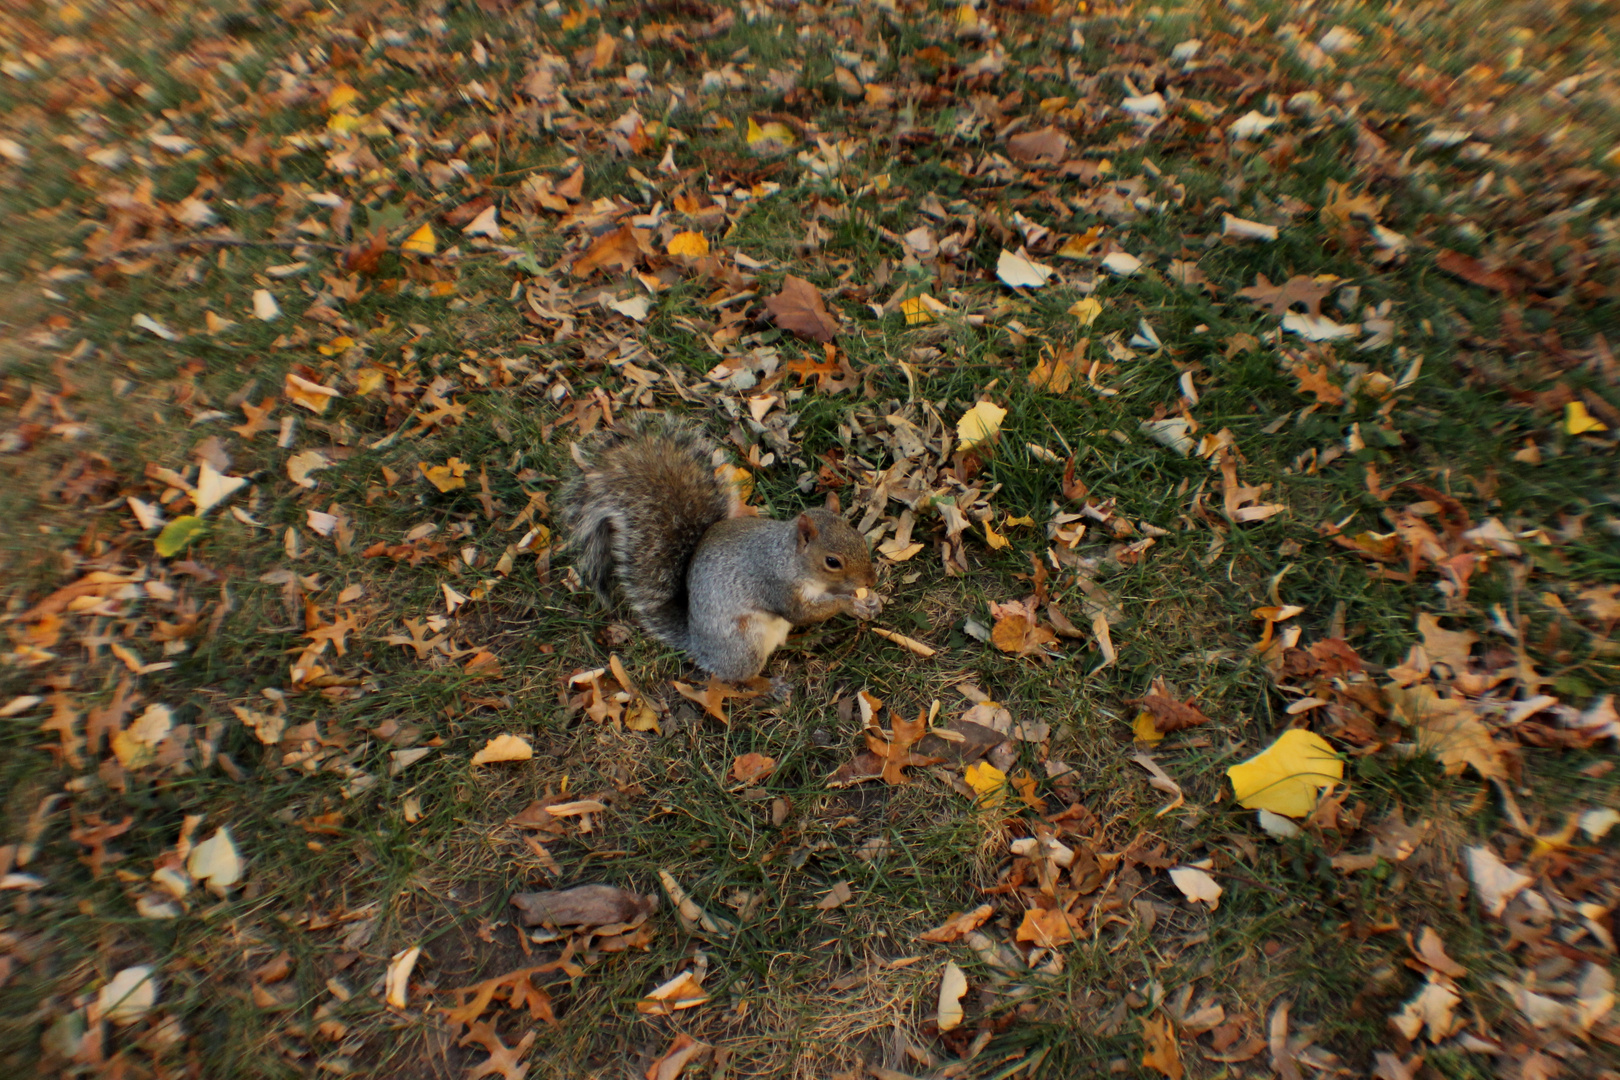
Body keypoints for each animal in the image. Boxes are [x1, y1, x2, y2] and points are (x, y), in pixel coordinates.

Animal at [560, 417, 887, 680]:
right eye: (832, 561)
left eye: (859, 537)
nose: (870, 579)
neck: (791, 560)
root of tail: (698, 645)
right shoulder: (777, 586)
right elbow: (801, 612)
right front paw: (850, 604)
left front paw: (869, 599)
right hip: (744, 644)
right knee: (739, 678)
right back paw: (769, 688)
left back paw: (811, 640)